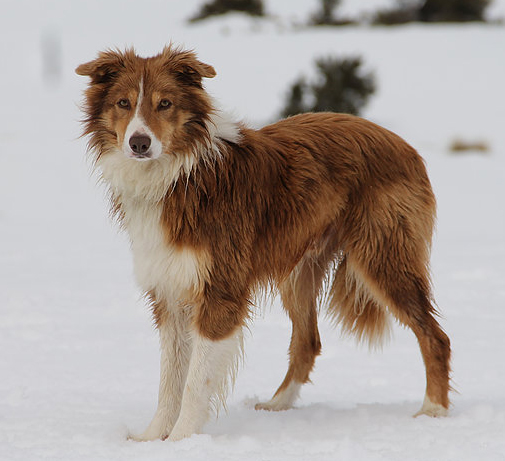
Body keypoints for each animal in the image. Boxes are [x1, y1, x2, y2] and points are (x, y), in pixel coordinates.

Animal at [75, 47, 448, 442]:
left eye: (165, 103)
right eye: (123, 103)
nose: (139, 143)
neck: (179, 175)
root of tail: (403, 144)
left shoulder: (220, 291)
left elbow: (195, 382)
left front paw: (181, 439)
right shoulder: (169, 291)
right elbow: (169, 379)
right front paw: (151, 438)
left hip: (383, 257)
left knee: (435, 336)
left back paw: (433, 410)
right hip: (298, 272)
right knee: (308, 341)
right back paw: (277, 405)